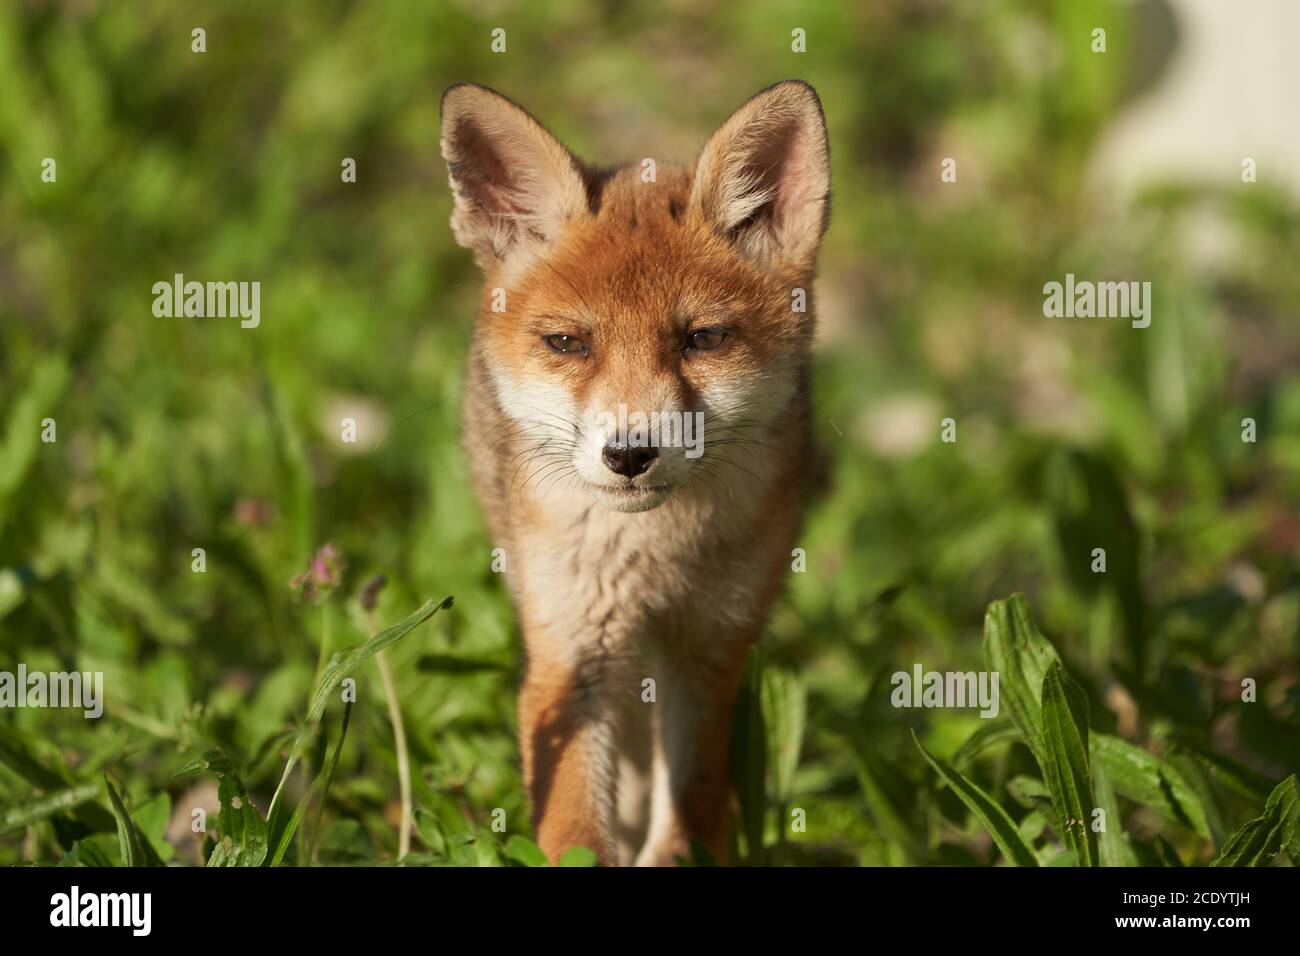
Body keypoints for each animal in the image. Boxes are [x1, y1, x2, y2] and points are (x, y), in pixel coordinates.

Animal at [439, 78, 832, 863]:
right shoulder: (572, 654)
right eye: (568, 343)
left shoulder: (711, 648)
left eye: (703, 339)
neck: (654, 556)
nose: (629, 454)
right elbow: (574, 828)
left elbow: (693, 806)